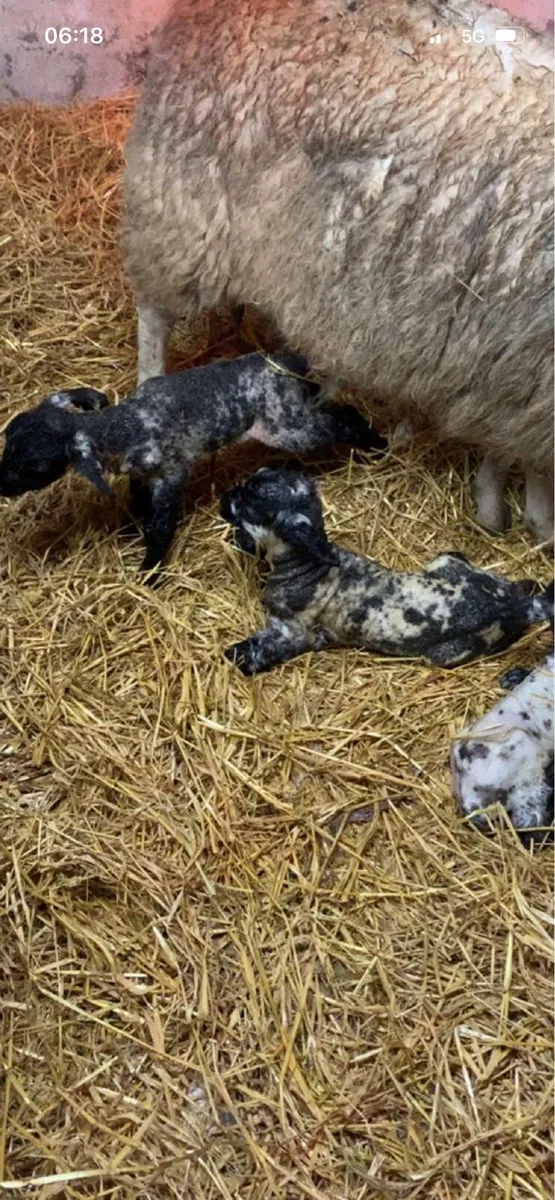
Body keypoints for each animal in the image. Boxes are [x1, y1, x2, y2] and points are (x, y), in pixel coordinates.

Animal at [0, 352, 386, 577]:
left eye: (36, 467)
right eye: (8, 438)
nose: (2, 484)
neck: (127, 426)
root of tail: (290, 363)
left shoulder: (173, 473)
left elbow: (161, 526)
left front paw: (148, 573)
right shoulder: (142, 473)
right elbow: (138, 500)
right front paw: (130, 528)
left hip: (287, 427)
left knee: (340, 421)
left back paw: (377, 444)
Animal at [122, 0, 554, 544]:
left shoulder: (503, 362)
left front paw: (505, 508)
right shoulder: (520, 369)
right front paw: (529, 520)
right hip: (183, 202)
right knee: (153, 314)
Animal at [219, 466, 553, 675]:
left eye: (248, 504)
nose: (223, 499)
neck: (307, 568)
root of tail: (514, 605)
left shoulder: (295, 632)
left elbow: (257, 650)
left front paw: (233, 655)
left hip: (447, 653)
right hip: (446, 562)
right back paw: (528, 584)